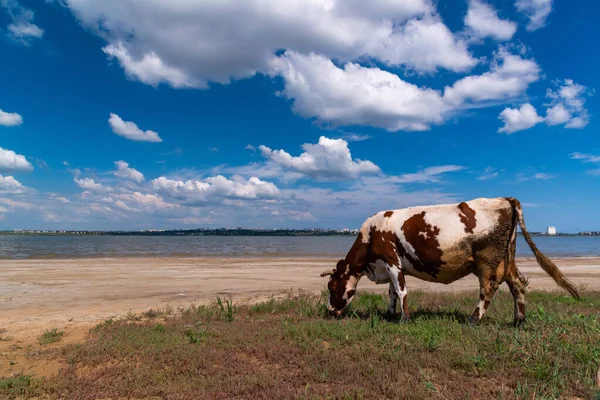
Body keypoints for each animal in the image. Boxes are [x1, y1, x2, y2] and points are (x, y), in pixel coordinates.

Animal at [322, 196, 580, 324]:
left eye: (331, 287)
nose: (329, 311)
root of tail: (505, 198)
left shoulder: (391, 260)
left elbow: (401, 290)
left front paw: (405, 319)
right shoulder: (389, 265)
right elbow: (392, 292)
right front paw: (391, 314)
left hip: (487, 259)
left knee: (488, 288)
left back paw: (474, 319)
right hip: (506, 259)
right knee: (517, 284)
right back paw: (519, 321)